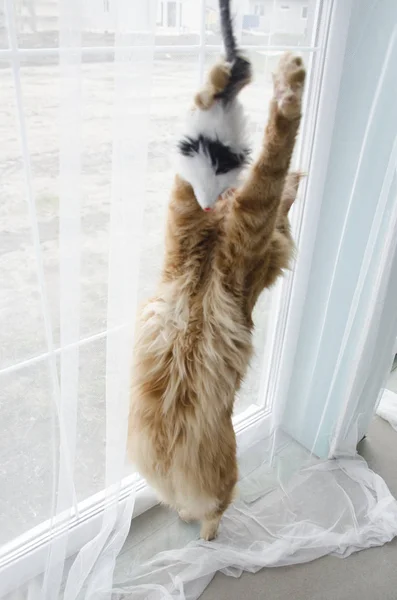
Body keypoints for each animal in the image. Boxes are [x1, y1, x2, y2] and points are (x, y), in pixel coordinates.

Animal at [128, 50, 304, 540]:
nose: (221, 195)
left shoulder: (242, 230)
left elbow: (272, 158)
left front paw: (286, 87)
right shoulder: (190, 223)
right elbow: (264, 164)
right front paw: (218, 86)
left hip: (224, 478)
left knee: (209, 509)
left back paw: (205, 531)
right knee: (197, 508)